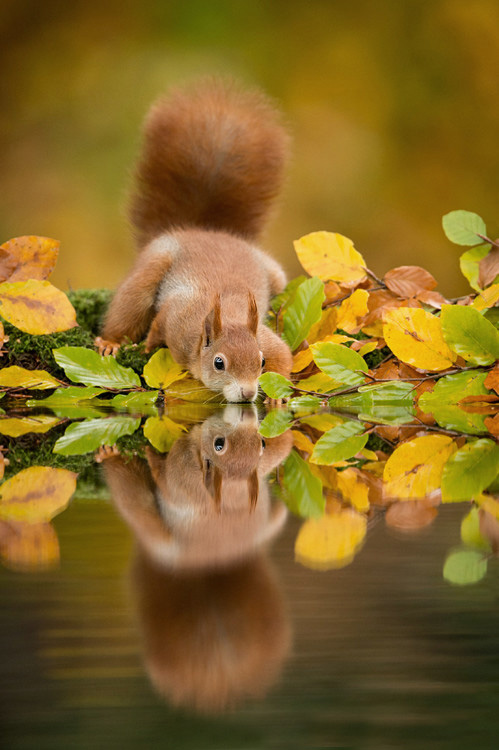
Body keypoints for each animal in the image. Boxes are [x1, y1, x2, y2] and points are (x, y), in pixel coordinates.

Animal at [97, 79, 292, 402]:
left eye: (261, 361)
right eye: (219, 363)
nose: (248, 393)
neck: (224, 315)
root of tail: (202, 230)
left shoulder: (265, 339)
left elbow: (286, 355)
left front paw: (279, 395)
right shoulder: (176, 320)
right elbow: (157, 326)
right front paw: (147, 346)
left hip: (275, 276)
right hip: (152, 267)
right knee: (130, 305)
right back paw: (111, 341)